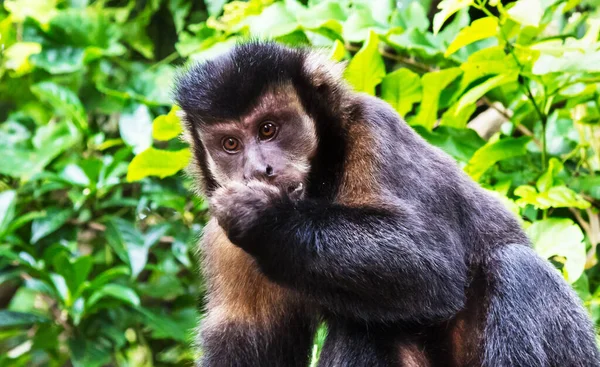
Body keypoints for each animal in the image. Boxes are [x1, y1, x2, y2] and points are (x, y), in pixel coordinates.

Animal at [173, 41, 600, 367]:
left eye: (268, 129)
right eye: (230, 144)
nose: (259, 170)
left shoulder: (374, 130)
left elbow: (433, 266)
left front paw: (267, 219)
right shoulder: (223, 242)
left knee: (519, 267)